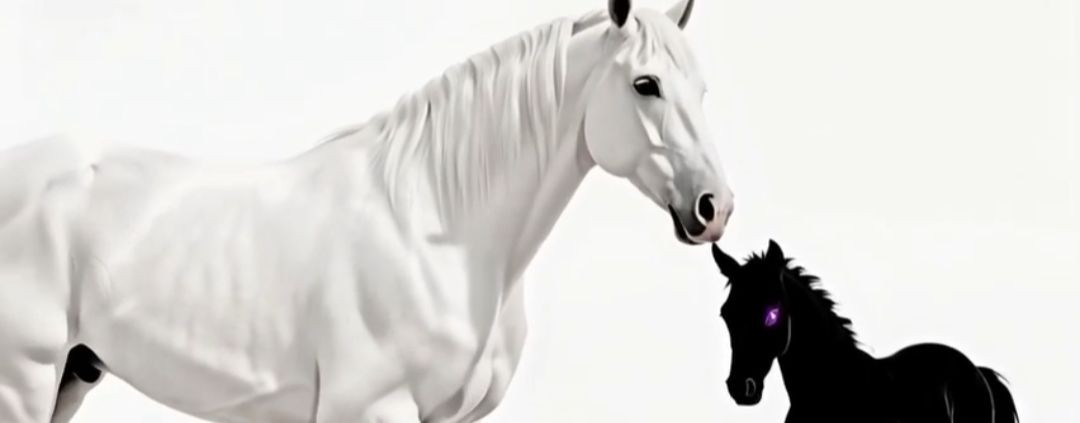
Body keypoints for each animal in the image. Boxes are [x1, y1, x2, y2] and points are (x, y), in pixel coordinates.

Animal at [0, 0, 733, 421]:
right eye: (645, 83)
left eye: (703, 88)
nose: (714, 207)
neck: (437, 231)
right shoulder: (375, 409)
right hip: (24, 381)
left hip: (71, 375)